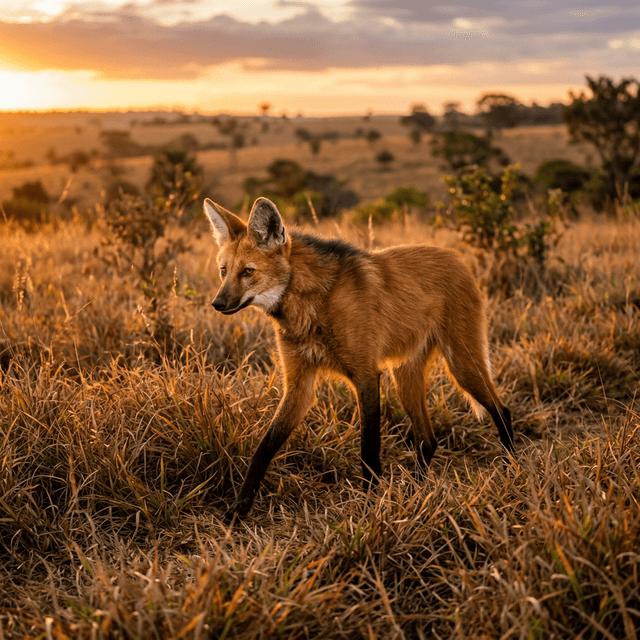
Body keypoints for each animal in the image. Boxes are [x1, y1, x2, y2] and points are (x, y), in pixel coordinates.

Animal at [203, 196, 514, 519]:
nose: (218, 303)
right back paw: (415, 493)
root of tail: (457, 258)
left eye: (248, 272)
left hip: (462, 364)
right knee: (428, 439)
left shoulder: (366, 375)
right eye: (224, 271)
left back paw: (512, 471)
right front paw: (237, 511)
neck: (310, 303)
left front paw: (370, 507)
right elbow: (264, 448)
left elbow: (368, 448)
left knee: (501, 411)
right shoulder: (299, 386)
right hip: (404, 377)